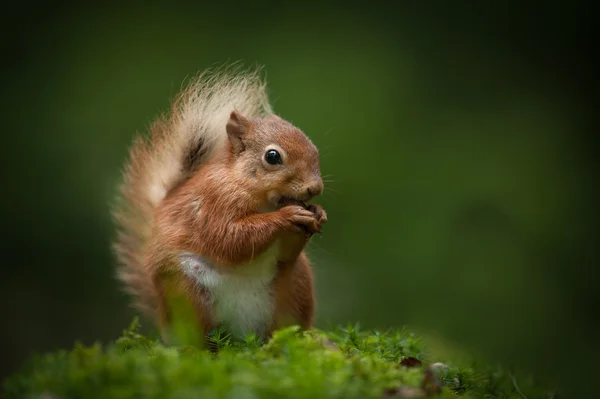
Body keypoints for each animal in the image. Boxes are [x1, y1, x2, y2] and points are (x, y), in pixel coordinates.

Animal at [112, 66, 328, 346]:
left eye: (314, 147)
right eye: (272, 157)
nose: (315, 188)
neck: (264, 200)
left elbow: (284, 251)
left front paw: (318, 213)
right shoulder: (214, 200)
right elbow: (229, 238)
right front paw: (287, 215)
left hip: (296, 286)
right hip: (187, 292)